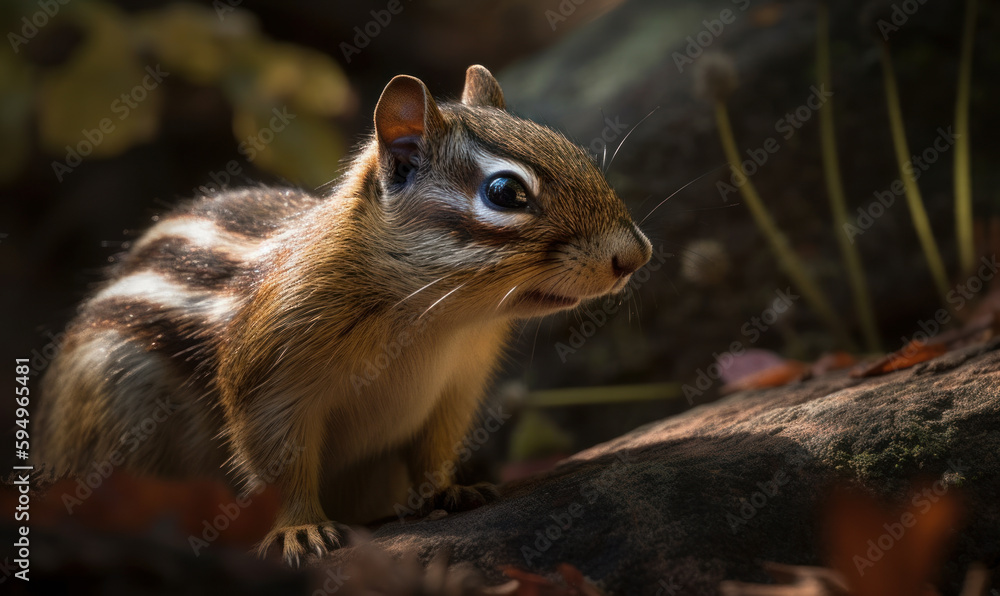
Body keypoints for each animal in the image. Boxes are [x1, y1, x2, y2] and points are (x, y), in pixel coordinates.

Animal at [35, 65, 652, 565]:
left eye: (573, 149)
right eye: (505, 193)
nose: (636, 255)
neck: (433, 320)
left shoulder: (456, 383)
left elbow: (435, 446)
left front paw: (449, 490)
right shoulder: (272, 383)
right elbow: (279, 463)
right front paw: (300, 529)